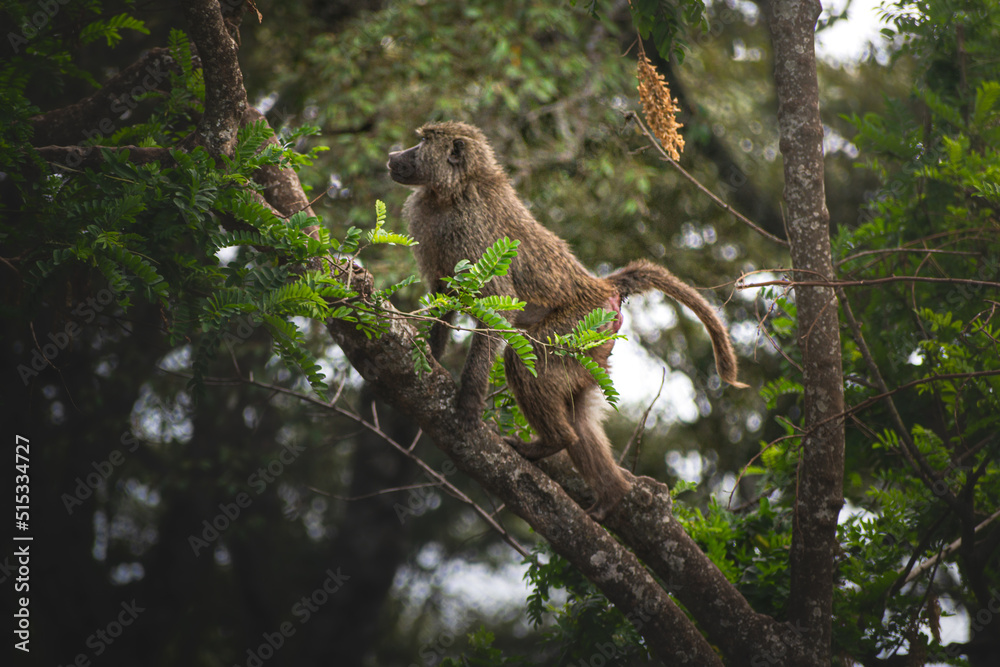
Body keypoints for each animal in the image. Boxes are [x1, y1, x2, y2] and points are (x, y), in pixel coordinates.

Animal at [388, 121, 747, 520]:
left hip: (580, 325)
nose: (393, 156)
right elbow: (444, 294)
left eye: (421, 142)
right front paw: (430, 357)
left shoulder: (471, 227)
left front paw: (468, 404)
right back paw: (611, 494)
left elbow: (499, 305)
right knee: (577, 416)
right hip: (594, 348)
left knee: (523, 359)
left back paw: (553, 444)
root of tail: (603, 286)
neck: (452, 191)